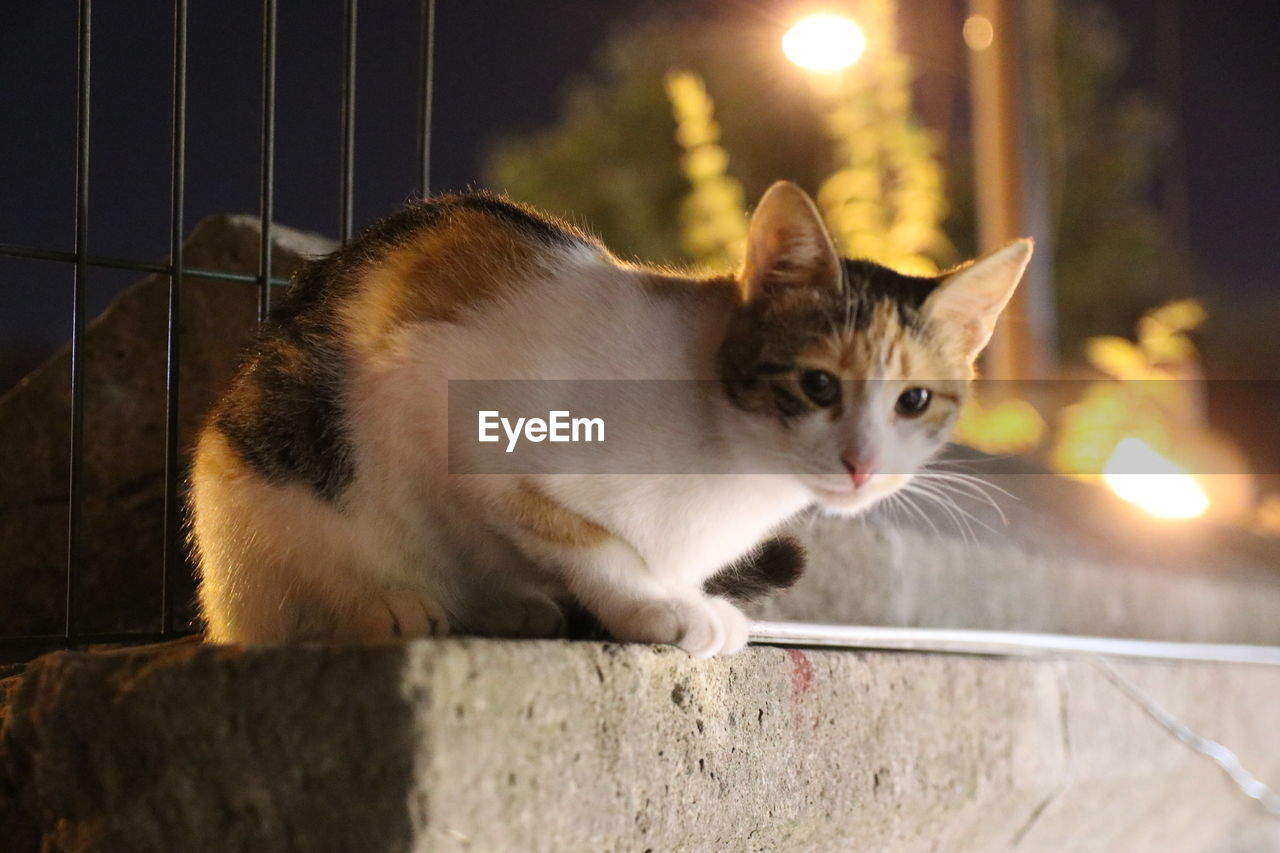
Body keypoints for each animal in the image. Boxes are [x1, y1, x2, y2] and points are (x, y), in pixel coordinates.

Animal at [189, 183, 1029, 653]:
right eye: (818, 384)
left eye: (914, 400)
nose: (863, 465)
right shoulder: (455, 410)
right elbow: (590, 538)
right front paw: (655, 604)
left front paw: (681, 597)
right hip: (268, 487)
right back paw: (384, 604)